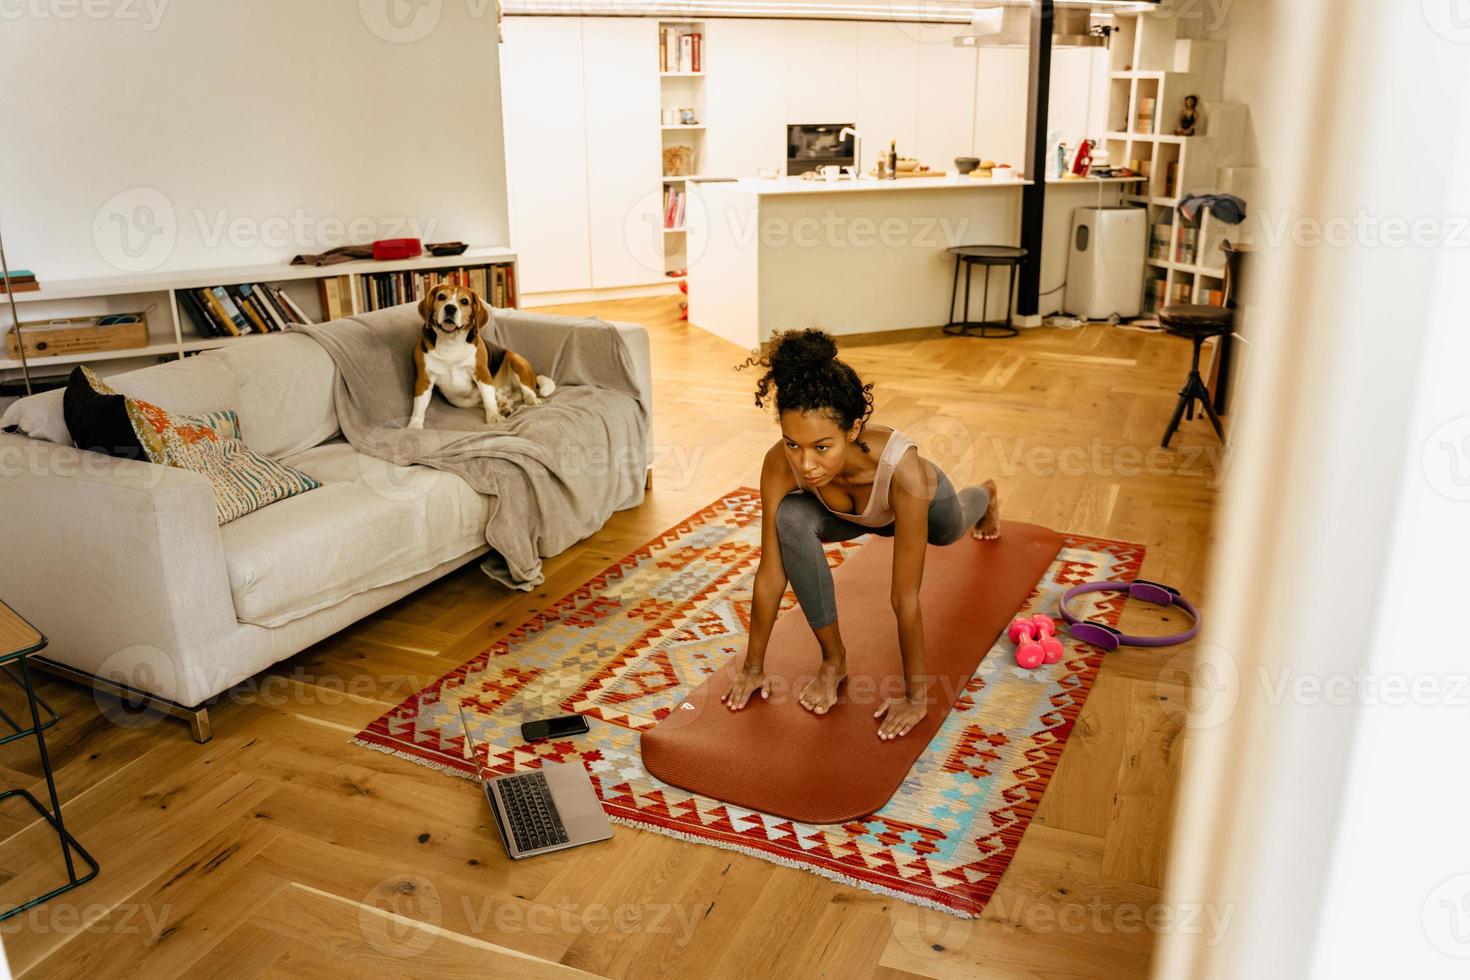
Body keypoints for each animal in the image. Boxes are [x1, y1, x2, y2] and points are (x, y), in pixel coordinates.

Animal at [408, 279, 555, 426]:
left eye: (464, 301)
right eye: (441, 297)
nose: (450, 308)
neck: (451, 342)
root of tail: (533, 374)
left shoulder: (482, 373)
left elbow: (488, 400)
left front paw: (493, 417)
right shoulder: (424, 379)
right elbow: (419, 406)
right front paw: (414, 426)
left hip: (515, 360)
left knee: (526, 390)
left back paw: (530, 400)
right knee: (503, 398)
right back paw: (504, 406)